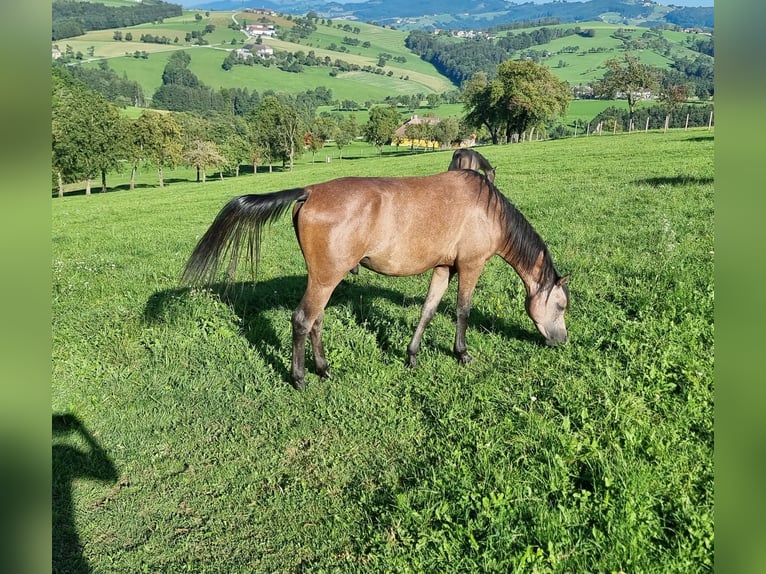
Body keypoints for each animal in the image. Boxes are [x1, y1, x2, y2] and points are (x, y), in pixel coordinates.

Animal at [183, 169, 568, 390]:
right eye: (562, 305)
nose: (561, 341)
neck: (488, 210)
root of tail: (310, 191)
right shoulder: (471, 266)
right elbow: (462, 311)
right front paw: (461, 354)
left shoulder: (444, 268)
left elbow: (428, 310)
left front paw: (412, 356)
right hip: (325, 280)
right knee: (303, 320)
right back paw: (301, 378)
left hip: (324, 279)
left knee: (316, 321)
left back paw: (324, 369)